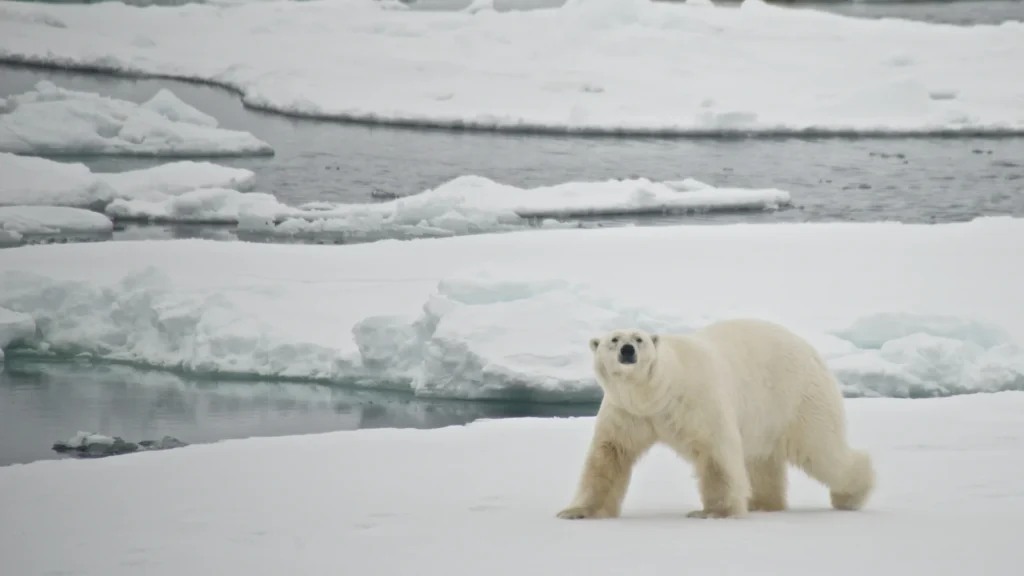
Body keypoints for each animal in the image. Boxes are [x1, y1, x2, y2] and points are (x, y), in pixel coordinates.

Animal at [557, 315, 876, 518]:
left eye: (639, 338)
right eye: (613, 339)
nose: (627, 350)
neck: (656, 394)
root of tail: (810, 349)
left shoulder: (695, 400)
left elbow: (716, 452)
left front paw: (713, 512)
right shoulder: (626, 411)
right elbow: (609, 456)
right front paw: (577, 511)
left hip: (797, 398)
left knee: (822, 451)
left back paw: (850, 494)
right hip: (767, 416)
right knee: (762, 461)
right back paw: (763, 503)